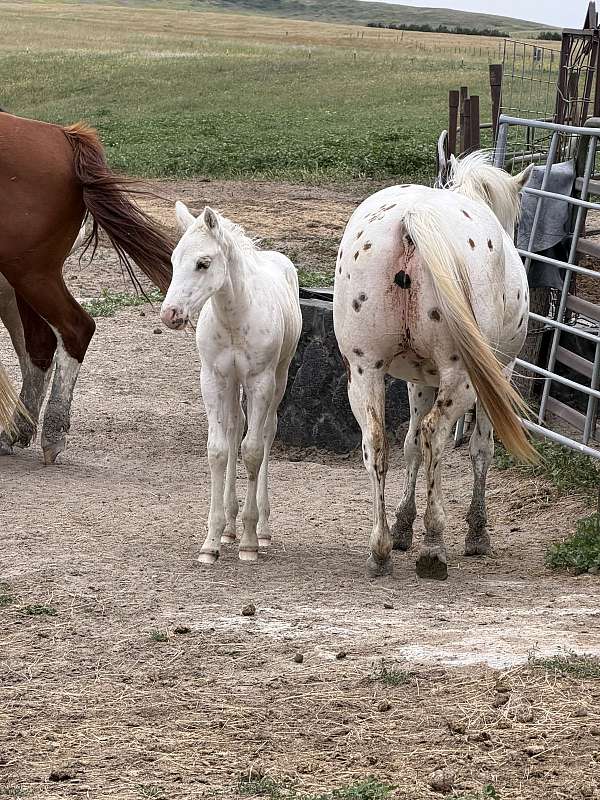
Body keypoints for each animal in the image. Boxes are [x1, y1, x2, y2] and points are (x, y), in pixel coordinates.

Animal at [0, 111, 174, 464]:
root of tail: (64, 136)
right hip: (23, 275)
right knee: (40, 344)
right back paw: (17, 431)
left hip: (32, 272)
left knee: (75, 329)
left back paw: (52, 432)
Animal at [160, 203, 302, 564]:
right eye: (173, 260)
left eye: (203, 263)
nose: (170, 314)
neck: (236, 318)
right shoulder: (213, 379)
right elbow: (219, 450)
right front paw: (211, 541)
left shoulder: (260, 382)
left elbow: (252, 452)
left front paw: (249, 543)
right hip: (233, 386)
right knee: (236, 428)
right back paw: (229, 530)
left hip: (278, 378)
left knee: (266, 433)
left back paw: (262, 531)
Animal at [333, 152, 536, 582]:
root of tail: (412, 218)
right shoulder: (498, 374)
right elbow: (480, 449)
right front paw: (476, 533)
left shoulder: (419, 379)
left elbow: (409, 447)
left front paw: (402, 527)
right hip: (462, 377)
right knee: (435, 434)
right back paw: (433, 545)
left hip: (363, 371)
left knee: (377, 442)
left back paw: (381, 549)